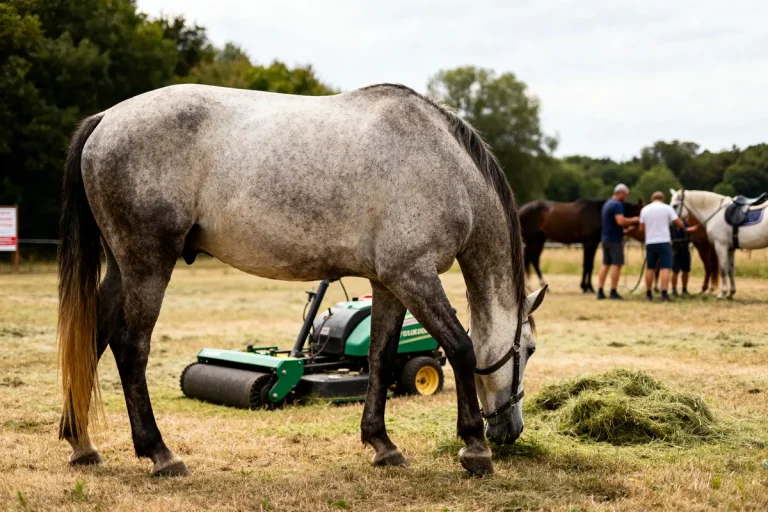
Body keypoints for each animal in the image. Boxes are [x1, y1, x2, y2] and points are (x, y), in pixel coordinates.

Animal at [57, 83, 547, 477]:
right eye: (530, 349)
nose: (510, 430)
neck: (446, 166)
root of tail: (106, 120)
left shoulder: (389, 284)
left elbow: (381, 356)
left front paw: (382, 444)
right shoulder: (415, 275)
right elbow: (461, 348)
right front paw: (475, 448)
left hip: (122, 268)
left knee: (94, 337)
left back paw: (82, 443)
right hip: (148, 264)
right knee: (130, 347)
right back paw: (160, 453)